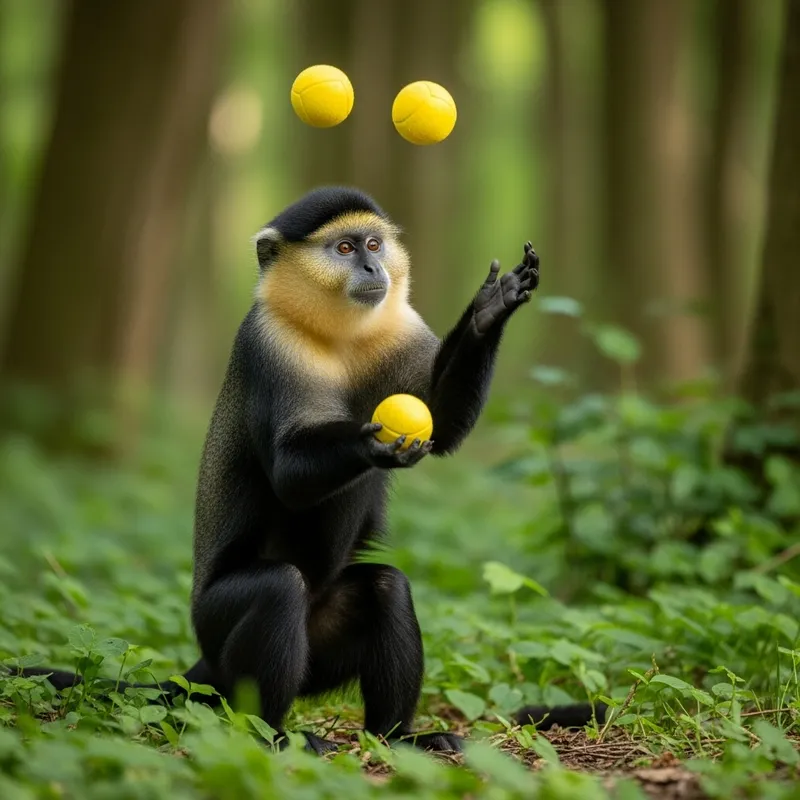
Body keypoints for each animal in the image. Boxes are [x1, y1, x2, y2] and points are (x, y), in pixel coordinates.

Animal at [7, 186, 605, 753]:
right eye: (343, 249)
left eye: (373, 244)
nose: (373, 270)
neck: (338, 334)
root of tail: (204, 668)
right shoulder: (269, 344)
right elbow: (291, 473)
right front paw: (373, 441)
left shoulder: (402, 327)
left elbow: (445, 422)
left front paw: (490, 309)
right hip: (220, 635)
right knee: (279, 589)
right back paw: (272, 734)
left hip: (320, 651)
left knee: (387, 586)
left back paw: (399, 737)